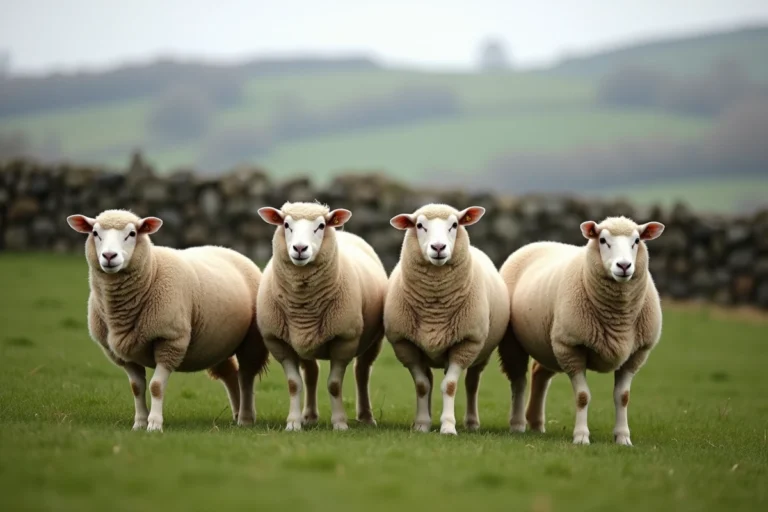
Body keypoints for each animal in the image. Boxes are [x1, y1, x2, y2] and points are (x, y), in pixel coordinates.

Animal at [66, 209, 268, 432]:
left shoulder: (170, 340)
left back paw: (246, 418)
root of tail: (228, 250)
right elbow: (136, 387)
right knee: (231, 375)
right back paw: (236, 413)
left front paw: (154, 424)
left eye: (132, 234)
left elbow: (155, 386)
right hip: (218, 342)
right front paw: (139, 423)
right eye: (95, 233)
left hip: (251, 342)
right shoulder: (122, 352)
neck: (152, 270)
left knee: (245, 377)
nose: (109, 256)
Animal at [256, 201, 387, 431]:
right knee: (311, 373)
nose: (300, 249)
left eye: (321, 226)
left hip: (374, 340)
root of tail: (345, 232)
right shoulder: (278, 342)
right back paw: (309, 415)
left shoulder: (344, 340)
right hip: (302, 342)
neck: (304, 305)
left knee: (362, 372)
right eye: (286, 224)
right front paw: (293, 423)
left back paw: (366, 417)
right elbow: (293, 384)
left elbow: (334, 385)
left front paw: (340, 423)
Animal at [384, 204, 510, 435]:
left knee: (472, 383)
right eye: (419, 225)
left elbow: (450, 386)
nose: (439, 247)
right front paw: (422, 424)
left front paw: (448, 426)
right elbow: (422, 385)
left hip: (482, 351)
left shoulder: (466, 343)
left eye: (454, 224)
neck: (435, 311)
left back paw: (472, 422)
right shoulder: (405, 345)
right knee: (431, 380)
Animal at [498, 216, 665, 445]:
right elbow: (583, 396)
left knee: (539, 374)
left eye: (637, 241)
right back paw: (517, 424)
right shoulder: (572, 348)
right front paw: (581, 436)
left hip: (549, 345)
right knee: (518, 381)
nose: (624, 266)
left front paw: (623, 437)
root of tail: (537, 242)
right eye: (602, 240)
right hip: (516, 342)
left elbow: (623, 397)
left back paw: (537, 424)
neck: (618, 318)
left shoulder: (636, 354)